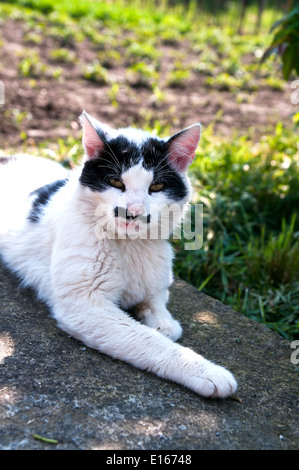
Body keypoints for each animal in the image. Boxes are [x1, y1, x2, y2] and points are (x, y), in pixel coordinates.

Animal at [0, 112, 238, 398]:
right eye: (115, 182)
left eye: (157, 186)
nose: (133, 212)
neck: (128, 246)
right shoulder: (85, 305)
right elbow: (146, 340)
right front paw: (205, 371)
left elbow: (155, 299)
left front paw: (163, 321)